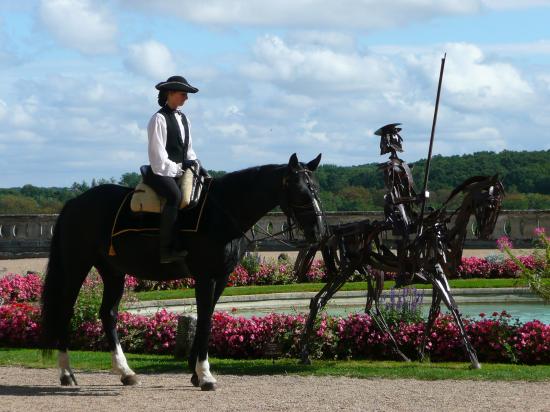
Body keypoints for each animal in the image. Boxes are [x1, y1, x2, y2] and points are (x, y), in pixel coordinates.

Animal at [43, 154, 328, 390]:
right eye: (300, 191)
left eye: (316, 189)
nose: (319, 231)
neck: (222, 212)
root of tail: (75, 202)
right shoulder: (205, 277)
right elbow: (205, 321)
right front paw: (205, 374)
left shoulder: (221, 278)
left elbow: (206, 318)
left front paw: (196, 372)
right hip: (77, 265)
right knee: (65, 311)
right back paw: (67, 373)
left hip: (113, 271)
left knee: (108, 314)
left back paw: (125, 372)